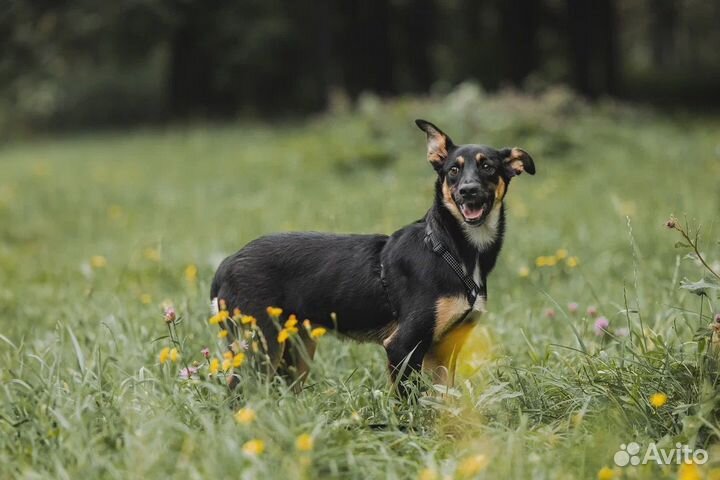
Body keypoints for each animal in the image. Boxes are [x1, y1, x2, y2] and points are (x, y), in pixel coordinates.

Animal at [210, 120, 536, 394]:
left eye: (488, 167)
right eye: (453, 171)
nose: (468, 191)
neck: (449, 248)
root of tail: (227, 263)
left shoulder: (445, 350)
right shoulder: (402, 345)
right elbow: (409, 401)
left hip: (295, 350)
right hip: (258, 346)